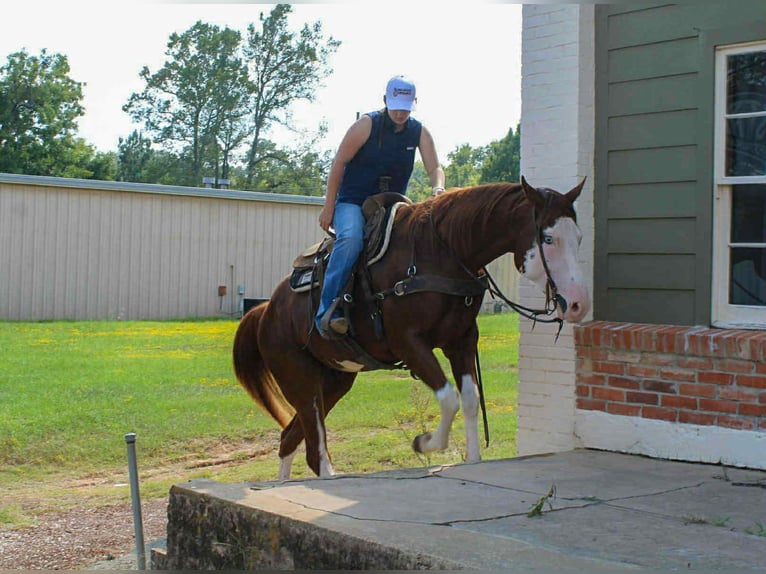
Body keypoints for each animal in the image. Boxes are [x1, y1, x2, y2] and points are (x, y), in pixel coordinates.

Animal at [233, 177, 590, 480]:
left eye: (579, 238)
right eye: (548, 238)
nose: (578, 303)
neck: (441, 253)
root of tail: (266, 310)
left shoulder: (461, 341)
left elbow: (469, 398)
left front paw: (473, 460)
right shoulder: (409, 343)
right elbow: (448, 398)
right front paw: (425, 443)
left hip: (334, 381)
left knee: (289, 438)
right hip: (300, 379)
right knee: (312, 448)